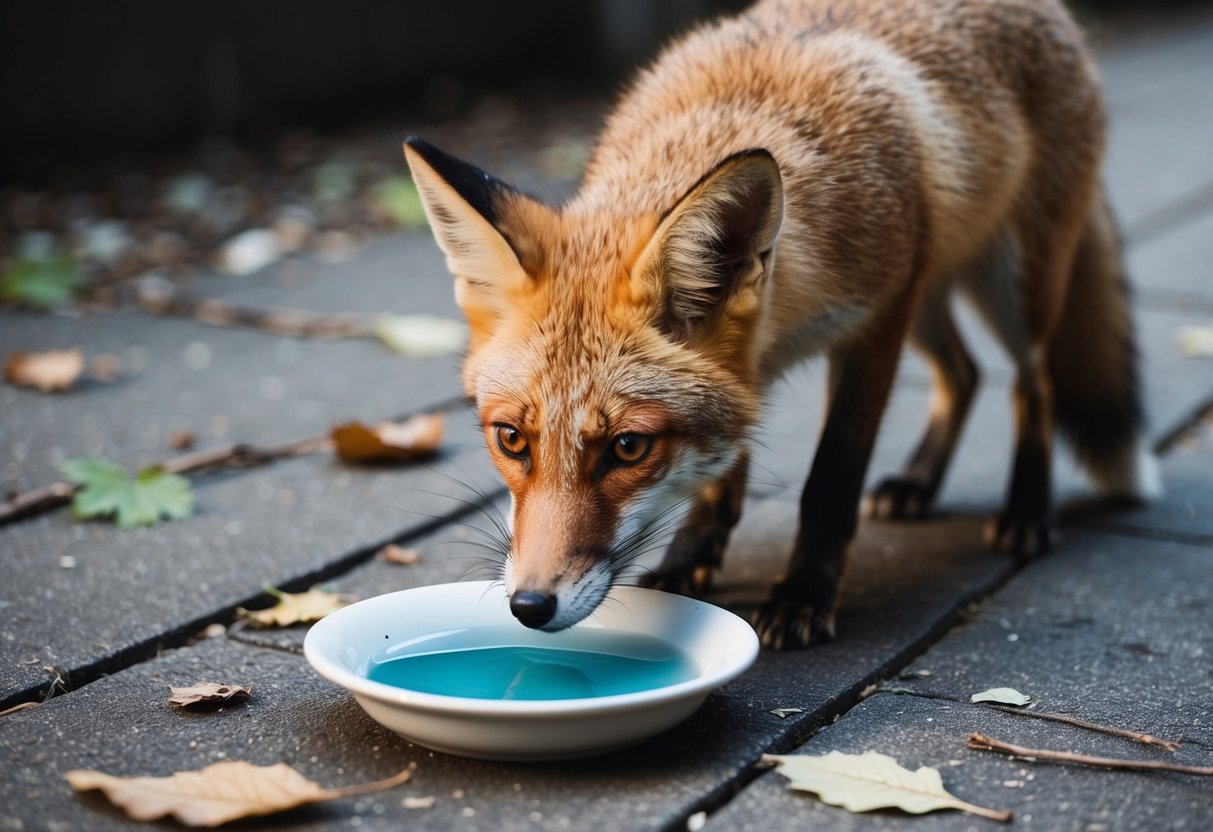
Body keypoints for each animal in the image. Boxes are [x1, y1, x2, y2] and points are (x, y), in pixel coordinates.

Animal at [403, 0, 1160, 649]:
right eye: (510, 439)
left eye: (627, 448)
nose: (530, 606)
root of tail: (1056, 16)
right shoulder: (759, 361)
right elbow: (720, 471)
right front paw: (688, 560)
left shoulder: (876, 318)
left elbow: (831, 479)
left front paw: (801, 596)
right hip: (932, 288)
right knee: (964, 374)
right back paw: (917, 484)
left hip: (1010, 285)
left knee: (1032, 383)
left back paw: (1028, 511)